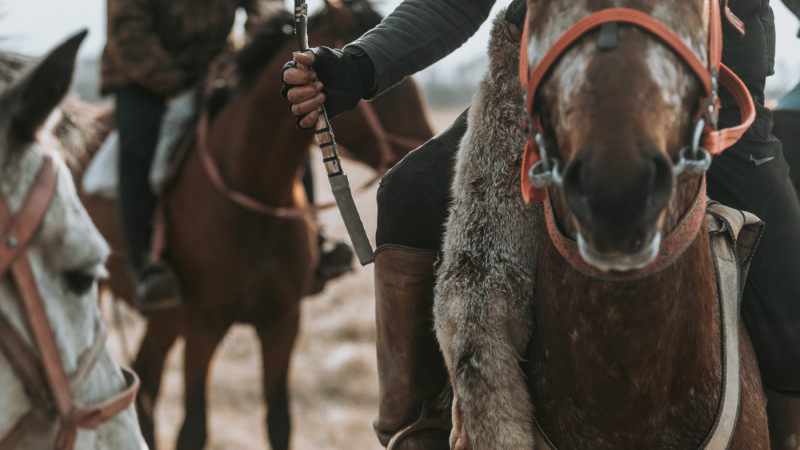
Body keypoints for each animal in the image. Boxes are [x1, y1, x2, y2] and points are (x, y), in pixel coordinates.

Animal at [76, 1, 432, 448]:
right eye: (390, 91)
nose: (424, 143)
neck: (251, 193)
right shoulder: (204, 324)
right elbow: (194, 428)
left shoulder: (282, 322)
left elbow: (279, 422)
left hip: (166, 319)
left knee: (147, 387)